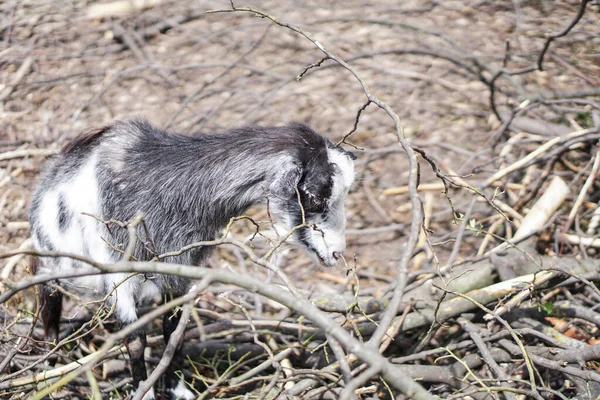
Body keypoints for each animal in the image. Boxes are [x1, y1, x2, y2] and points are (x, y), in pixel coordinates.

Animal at [29, 119, 356, 400]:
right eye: (313, 197)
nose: (336, 253)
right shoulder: (118, 272)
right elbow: (134, 339)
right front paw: (143, 392)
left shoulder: (180, 270)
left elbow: (174, 332)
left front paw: (177, 389)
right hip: (50, 266)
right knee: (49, 309)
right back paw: (47, 368)